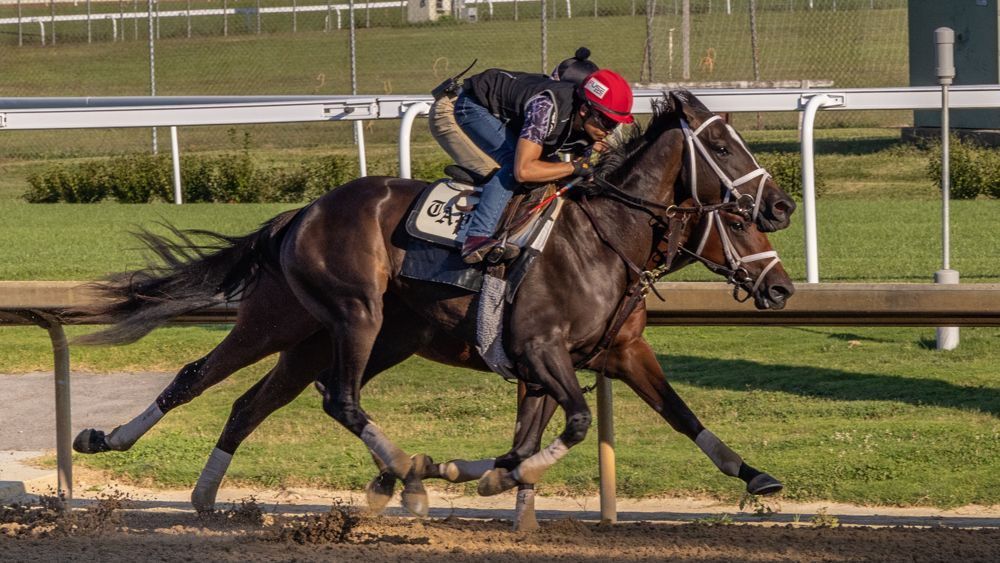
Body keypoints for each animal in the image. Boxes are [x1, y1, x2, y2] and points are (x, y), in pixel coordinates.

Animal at [71, 91, 796, 521]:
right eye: (723, 149)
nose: (783, 208)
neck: (605, 237)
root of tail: (301, 214)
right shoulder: (543, 351)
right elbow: (575, 423)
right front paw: (475, 476)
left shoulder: (609, 351)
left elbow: (673, 412)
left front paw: (756, 475)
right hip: (342, 316)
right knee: (319, 394)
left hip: (320, 331)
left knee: (250, 396)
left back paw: (199, 487)